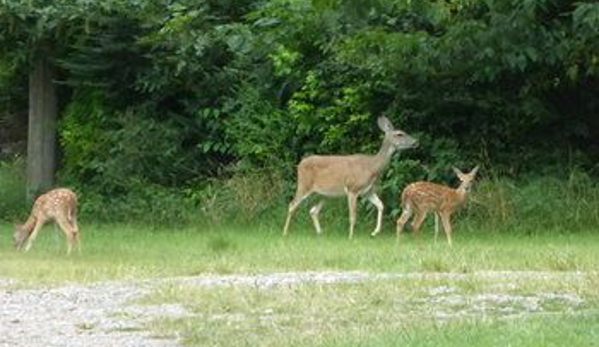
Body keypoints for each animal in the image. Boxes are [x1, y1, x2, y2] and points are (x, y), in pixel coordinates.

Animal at [284, 116, 418, 239]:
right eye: (399, 134)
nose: (415, 142)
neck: (372, 167)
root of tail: (300, 164)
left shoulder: (368, 191)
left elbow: (381, 205)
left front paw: (375, 232)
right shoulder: (352, 189)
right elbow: (353, 216)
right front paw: (351, 237)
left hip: (324, 194)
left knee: (313, 211)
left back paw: (320, 233)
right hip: (303, 185)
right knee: (292, 205)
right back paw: (285, 233)